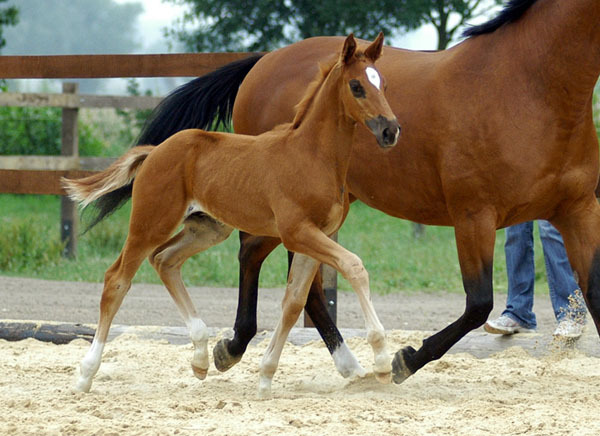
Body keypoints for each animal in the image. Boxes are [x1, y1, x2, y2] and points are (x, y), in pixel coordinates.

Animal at [62, 32, 398, 396]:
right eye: (356, 86)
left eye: (383, 84)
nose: (390, 130)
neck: (311, 156)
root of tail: (154, 152)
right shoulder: (297, 232)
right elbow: (354, 266)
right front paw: (382, 361)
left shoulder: (315, 237)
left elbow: (294, 302)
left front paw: (265, 378)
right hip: (150, 223)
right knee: (117, 279)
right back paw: (85, 375)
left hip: (207, 227)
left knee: (164, 260)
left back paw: (200, 356)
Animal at [86, 0, 600, 382]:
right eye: (357, 87)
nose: (391, 130)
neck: (528, 84)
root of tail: (262, 61)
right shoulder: (474, 215)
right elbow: (477, 305)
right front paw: (403, 359)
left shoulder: (577, 210)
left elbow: (591, 289)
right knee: (261, 261)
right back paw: (247, 349)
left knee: (294, 281)